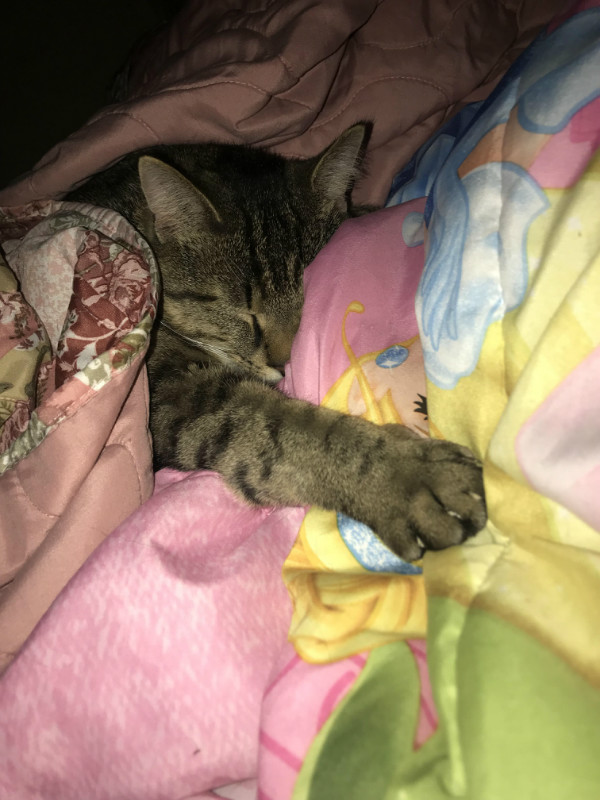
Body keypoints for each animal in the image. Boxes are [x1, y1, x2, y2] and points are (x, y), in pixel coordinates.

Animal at [67, 124, 486, 561]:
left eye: (311, 294)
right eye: (244, 311)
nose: (285, 364)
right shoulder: (167, 390)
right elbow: (284, 428)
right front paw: (407, 477)